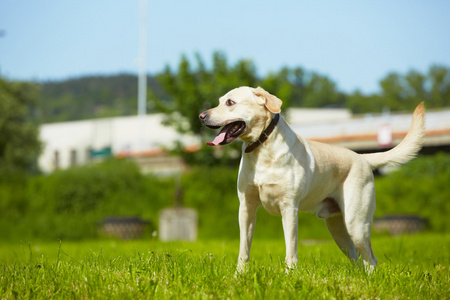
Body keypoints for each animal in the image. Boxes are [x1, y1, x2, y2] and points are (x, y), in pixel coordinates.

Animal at [198, 85, 426, 270]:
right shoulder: (246, 207)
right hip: (337, 228)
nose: (201, 115)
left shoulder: (289, 208)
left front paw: (290, 276)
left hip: (357, 223)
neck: (262, 148)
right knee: (356, 257)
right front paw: (240, 275)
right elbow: (243, 250)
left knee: (370, 259)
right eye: (219, 101)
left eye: (230, 102)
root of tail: (363, 158)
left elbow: (291, 250)